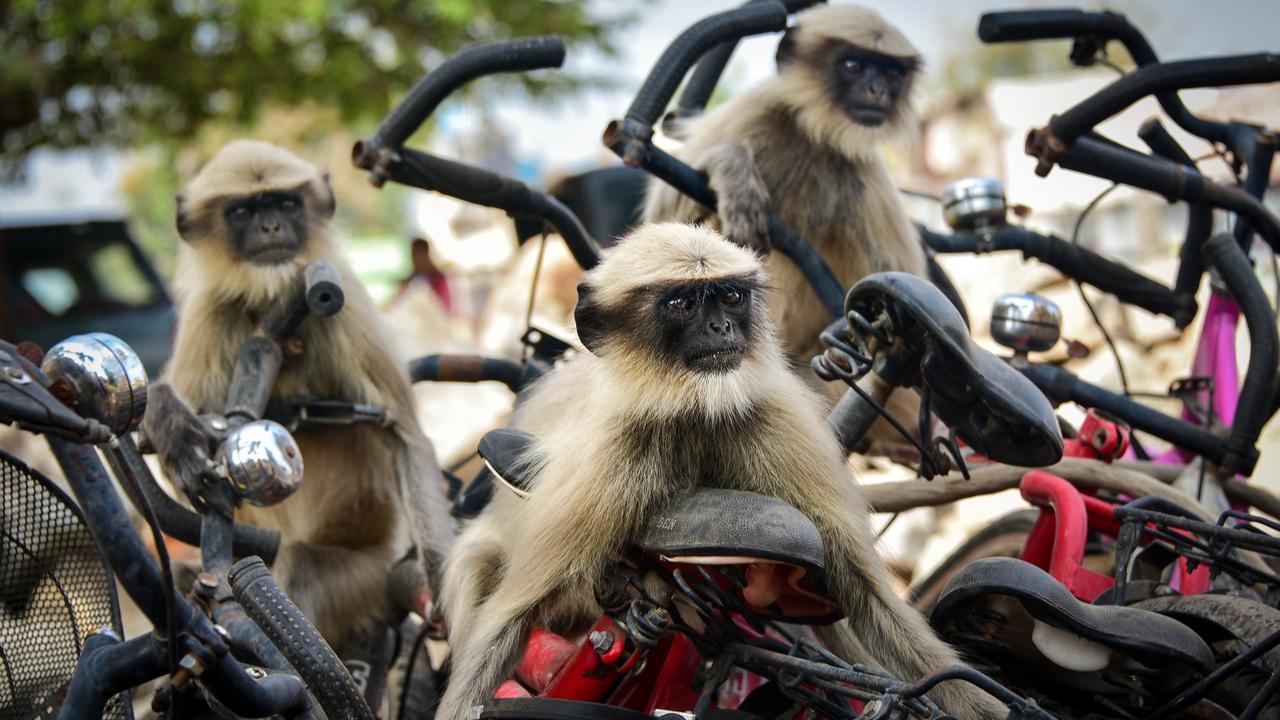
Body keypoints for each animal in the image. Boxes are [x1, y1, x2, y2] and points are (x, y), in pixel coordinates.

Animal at [143, 139, 453, 645]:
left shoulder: (345, 304)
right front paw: (167, 420)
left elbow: (404, 435)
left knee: (300, 567)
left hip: (364, 579)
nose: (271, 226)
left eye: (287, 204)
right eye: (244, 211)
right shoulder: (211, 311)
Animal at [440, 222, 1008, 717]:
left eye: (731, 297)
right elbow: (510, 617)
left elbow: (866, 593)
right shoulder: (612, 453)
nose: (722, 327)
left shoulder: (775, 423)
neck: (692, 409)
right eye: (682, 303)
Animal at [645, 5, 926, 440]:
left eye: (892, 73)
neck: (813, 132)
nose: (878, 90)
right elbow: (656, 226)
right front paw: (731, 166)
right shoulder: (752, 113)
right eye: (854, 65)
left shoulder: (865, 175)